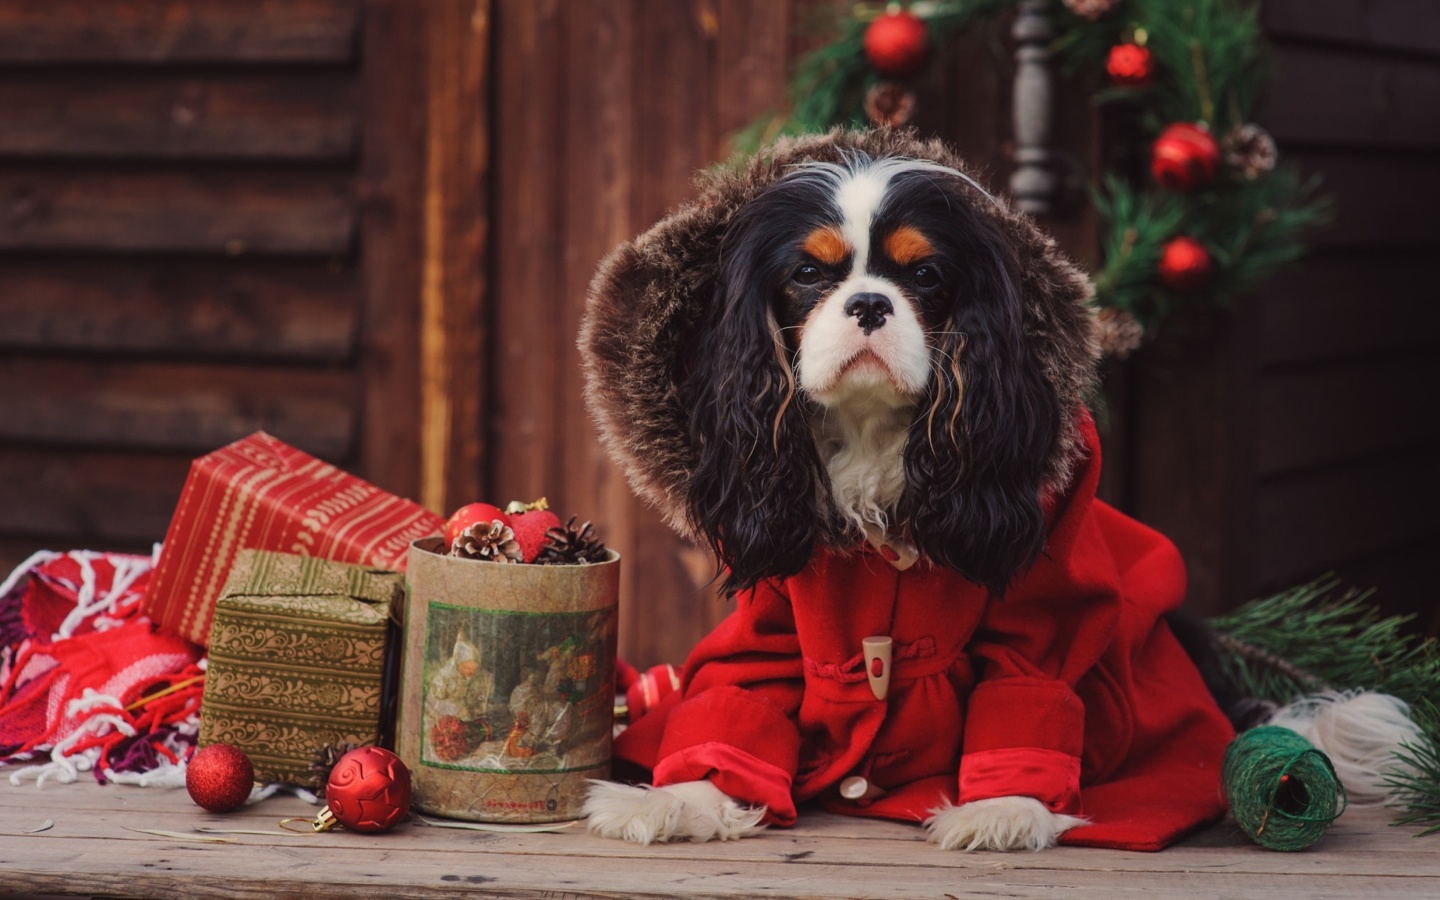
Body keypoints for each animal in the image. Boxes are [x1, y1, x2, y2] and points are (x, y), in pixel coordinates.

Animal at [578, 128, 1232, 846]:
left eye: (924, 276)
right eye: (807, 274)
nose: (869, 303)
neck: (870, 429)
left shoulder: (1047, 597)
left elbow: (1030, 678)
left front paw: (1004, 806)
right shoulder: (773, 610)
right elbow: (741, 688)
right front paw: (686, 797)